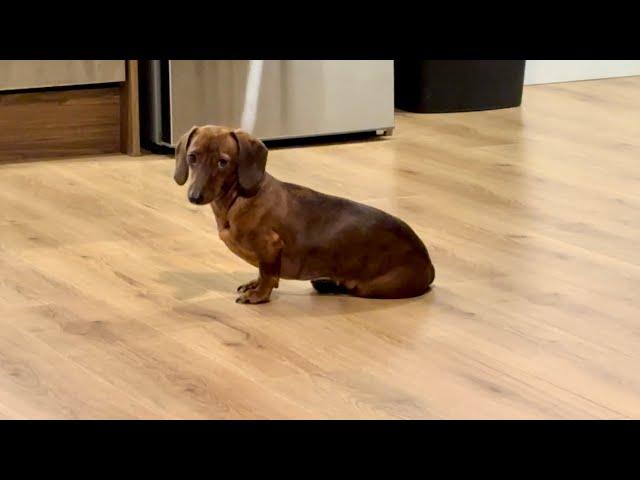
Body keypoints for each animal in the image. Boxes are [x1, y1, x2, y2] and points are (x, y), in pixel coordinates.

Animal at [174, 124, 436, 304]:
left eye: (222, 162)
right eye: (192, 157)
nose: (194, 196)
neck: (239, 198)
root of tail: (428, 263)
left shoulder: (270, 246)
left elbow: (267, 274)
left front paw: (258, 295)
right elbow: (261, 273)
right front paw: (254, 285)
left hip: (372, 287)